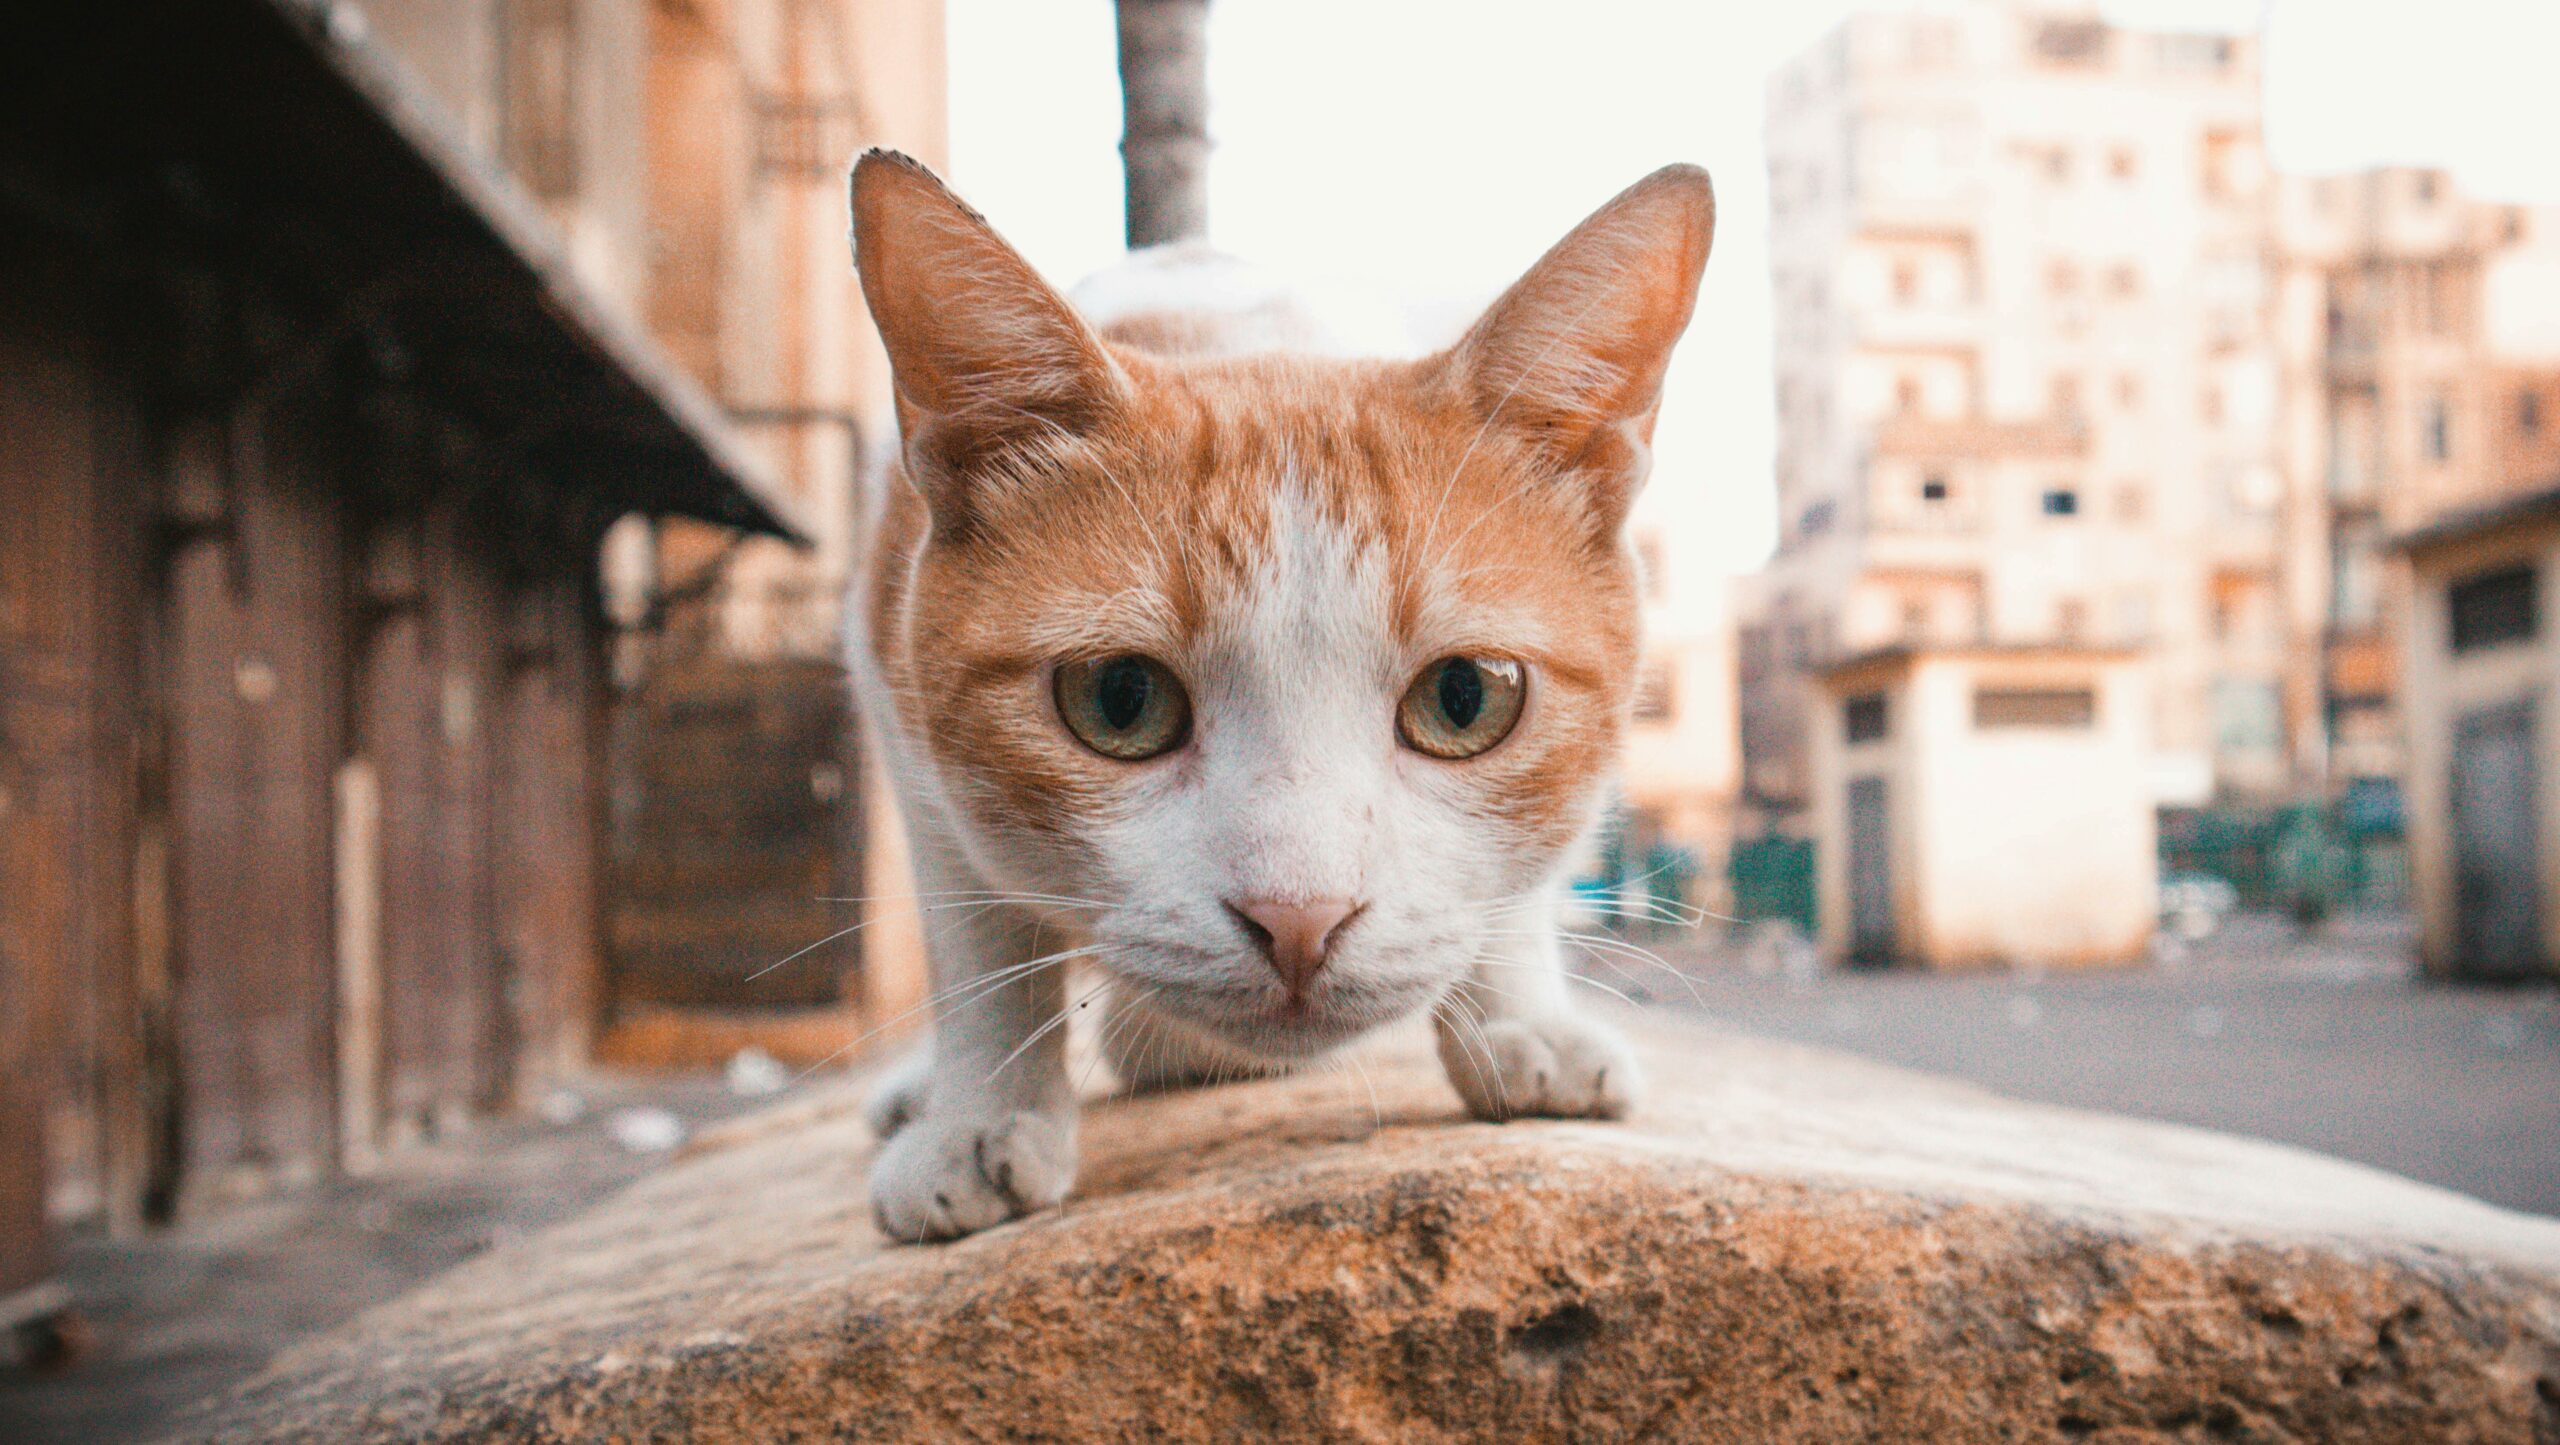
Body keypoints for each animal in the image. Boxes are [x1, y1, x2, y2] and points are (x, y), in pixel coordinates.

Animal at [849, 152, 1710, 1245]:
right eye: (1120, 700)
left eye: (1465, 698)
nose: (1299, 919)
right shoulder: (888, 676)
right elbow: (973, 924)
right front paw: (980, 1111)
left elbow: (1524, 879)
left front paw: (1520, 1019)